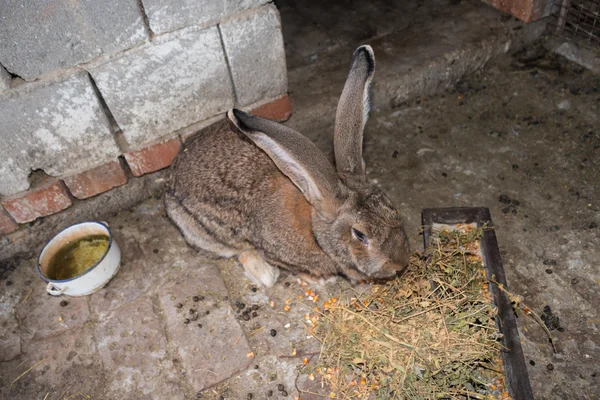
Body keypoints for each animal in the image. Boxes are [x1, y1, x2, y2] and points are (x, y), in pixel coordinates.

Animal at [164, 45, 410, 286]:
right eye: (360, 235)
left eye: (392, 208)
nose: (400, 264)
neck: (315, 229)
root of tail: (170, 180)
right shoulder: (273, 250)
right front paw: (320, 278)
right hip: (201, 231)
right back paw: (265, 274)